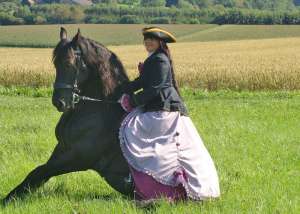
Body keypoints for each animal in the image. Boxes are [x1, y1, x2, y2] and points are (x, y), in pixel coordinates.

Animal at [2, 27, 134, 203]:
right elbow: (38, 174)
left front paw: (8, 200)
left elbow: (40, 171)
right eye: (55, 64)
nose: (59, 102)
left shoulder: (79, 157)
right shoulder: (62, 147)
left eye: (68, 63)